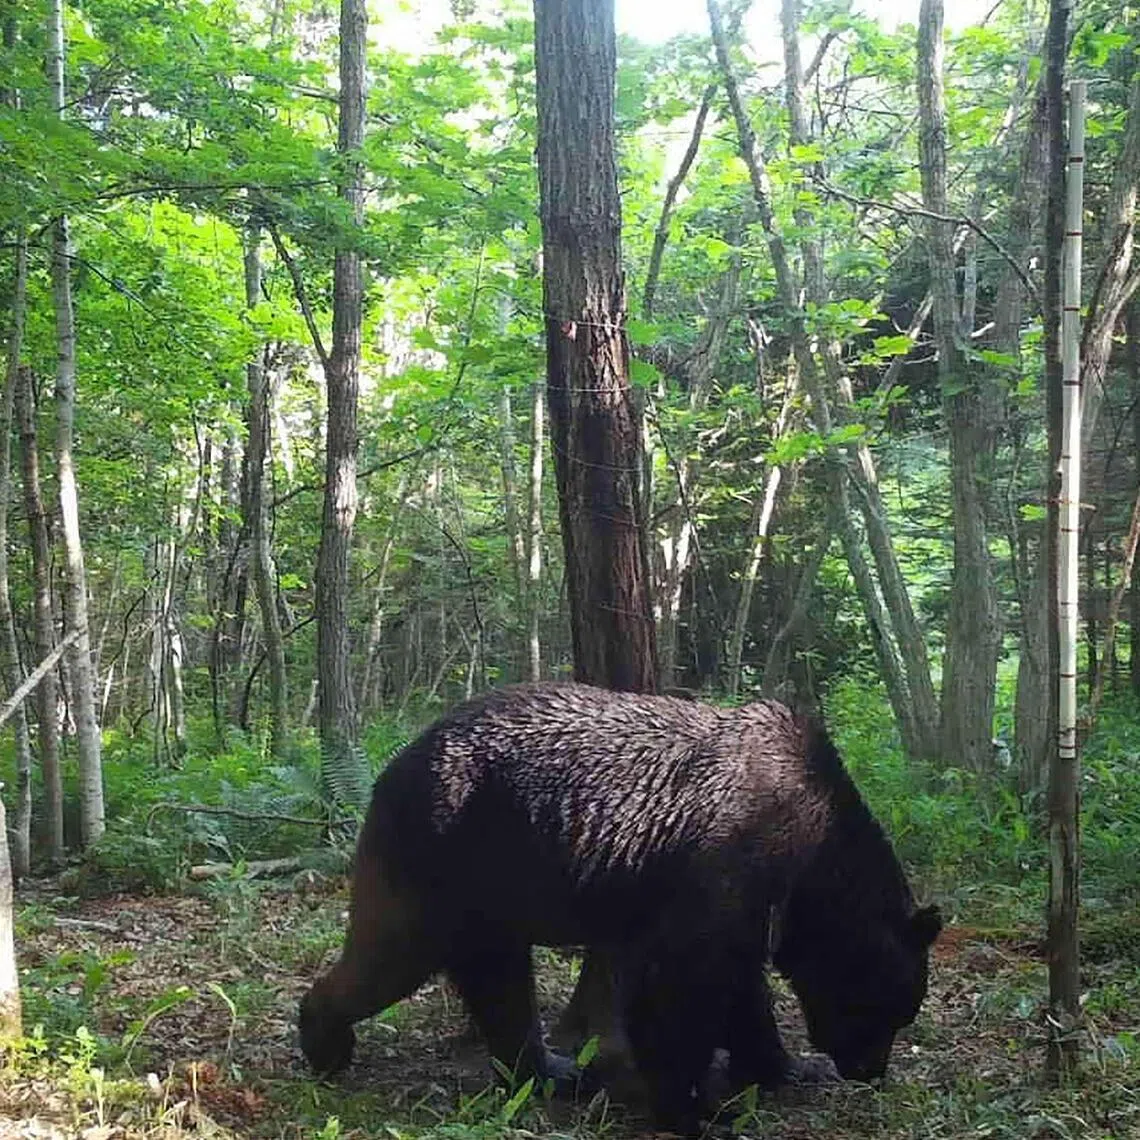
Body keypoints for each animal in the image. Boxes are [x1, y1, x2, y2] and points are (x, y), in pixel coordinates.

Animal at [299, 682, 940, 1128]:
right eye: (889, 1011)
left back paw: (550, 1070)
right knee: (393, 954)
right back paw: (324, 1040)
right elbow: (681, 985)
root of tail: (393, 764)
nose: (870, 1070)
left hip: (492, 889)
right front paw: (695, 1109)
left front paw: (784, 1066)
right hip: (443, 853)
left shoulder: (747, 904)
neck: (812, 855)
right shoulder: (729, 862)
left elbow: (739, 988)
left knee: (499, 981)